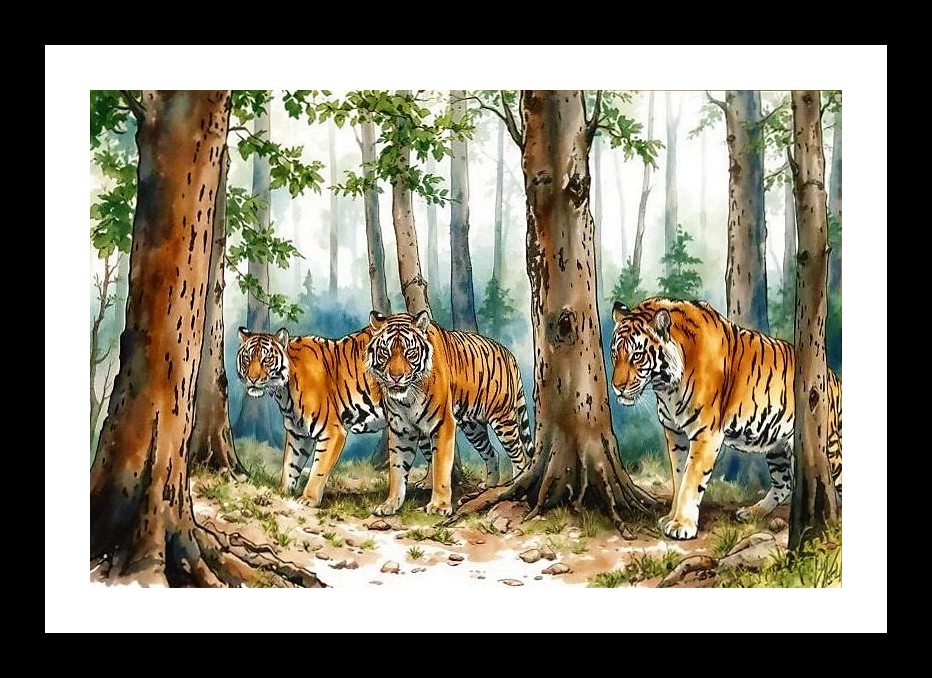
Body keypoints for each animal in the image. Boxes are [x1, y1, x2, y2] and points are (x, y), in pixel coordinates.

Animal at [236, 326, 502, 507]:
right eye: (247, 358)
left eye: (266, 359)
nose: (253, 378)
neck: (282, 391)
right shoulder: (297, 434)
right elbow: (290, 465)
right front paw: (283, 492)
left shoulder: (331, 431)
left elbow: (318, 468)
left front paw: (308, 499)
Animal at [365, 309, 534, 516]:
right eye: (385, 353)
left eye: (410, 353)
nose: (396, 377)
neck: (407, 397)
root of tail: (509, 354)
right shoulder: (400, 429)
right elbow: (397, 469)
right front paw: (390, 504)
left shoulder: (442, 423)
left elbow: (440, 466)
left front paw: (439, 506)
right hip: (473, 427)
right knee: (491, 452)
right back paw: (488, 486)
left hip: (503, 419)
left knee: (518, 454)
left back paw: (513, 485)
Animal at [609, 297, 842, 540]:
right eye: (615, 353)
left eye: (637, 356)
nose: (617, 386)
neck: (666, 387)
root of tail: (833, 377)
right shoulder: (675, 433)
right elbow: (678, 476)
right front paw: (670, 517)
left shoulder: (706, 434)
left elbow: (691, 481)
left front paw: (682, 525)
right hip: (776, 447)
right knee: (783, 485)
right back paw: (751, 512)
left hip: (829, 447)